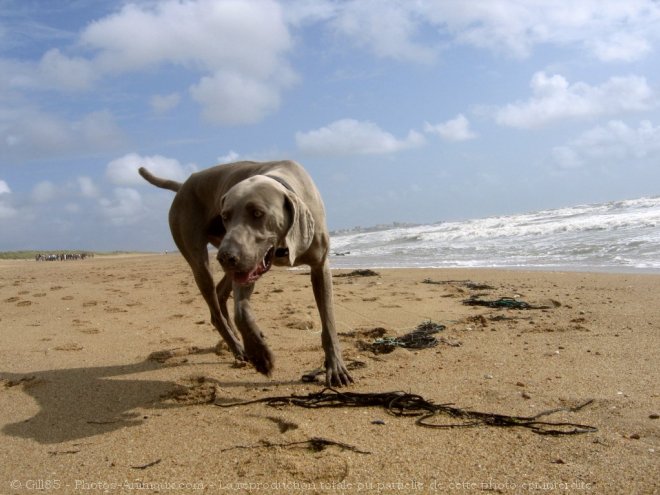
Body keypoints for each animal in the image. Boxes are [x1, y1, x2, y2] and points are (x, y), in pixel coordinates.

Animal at [139, 160, 354, 388]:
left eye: (258, 213)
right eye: (225, 216)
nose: (226, 257)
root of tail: (183, 186)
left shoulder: (319, 266)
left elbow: (328, 322)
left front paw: (336, 367)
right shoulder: (246, 268)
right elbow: (241, 312)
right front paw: (260, 356)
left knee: (220, 293)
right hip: (202, 259)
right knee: (215, 309)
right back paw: (238, 346)